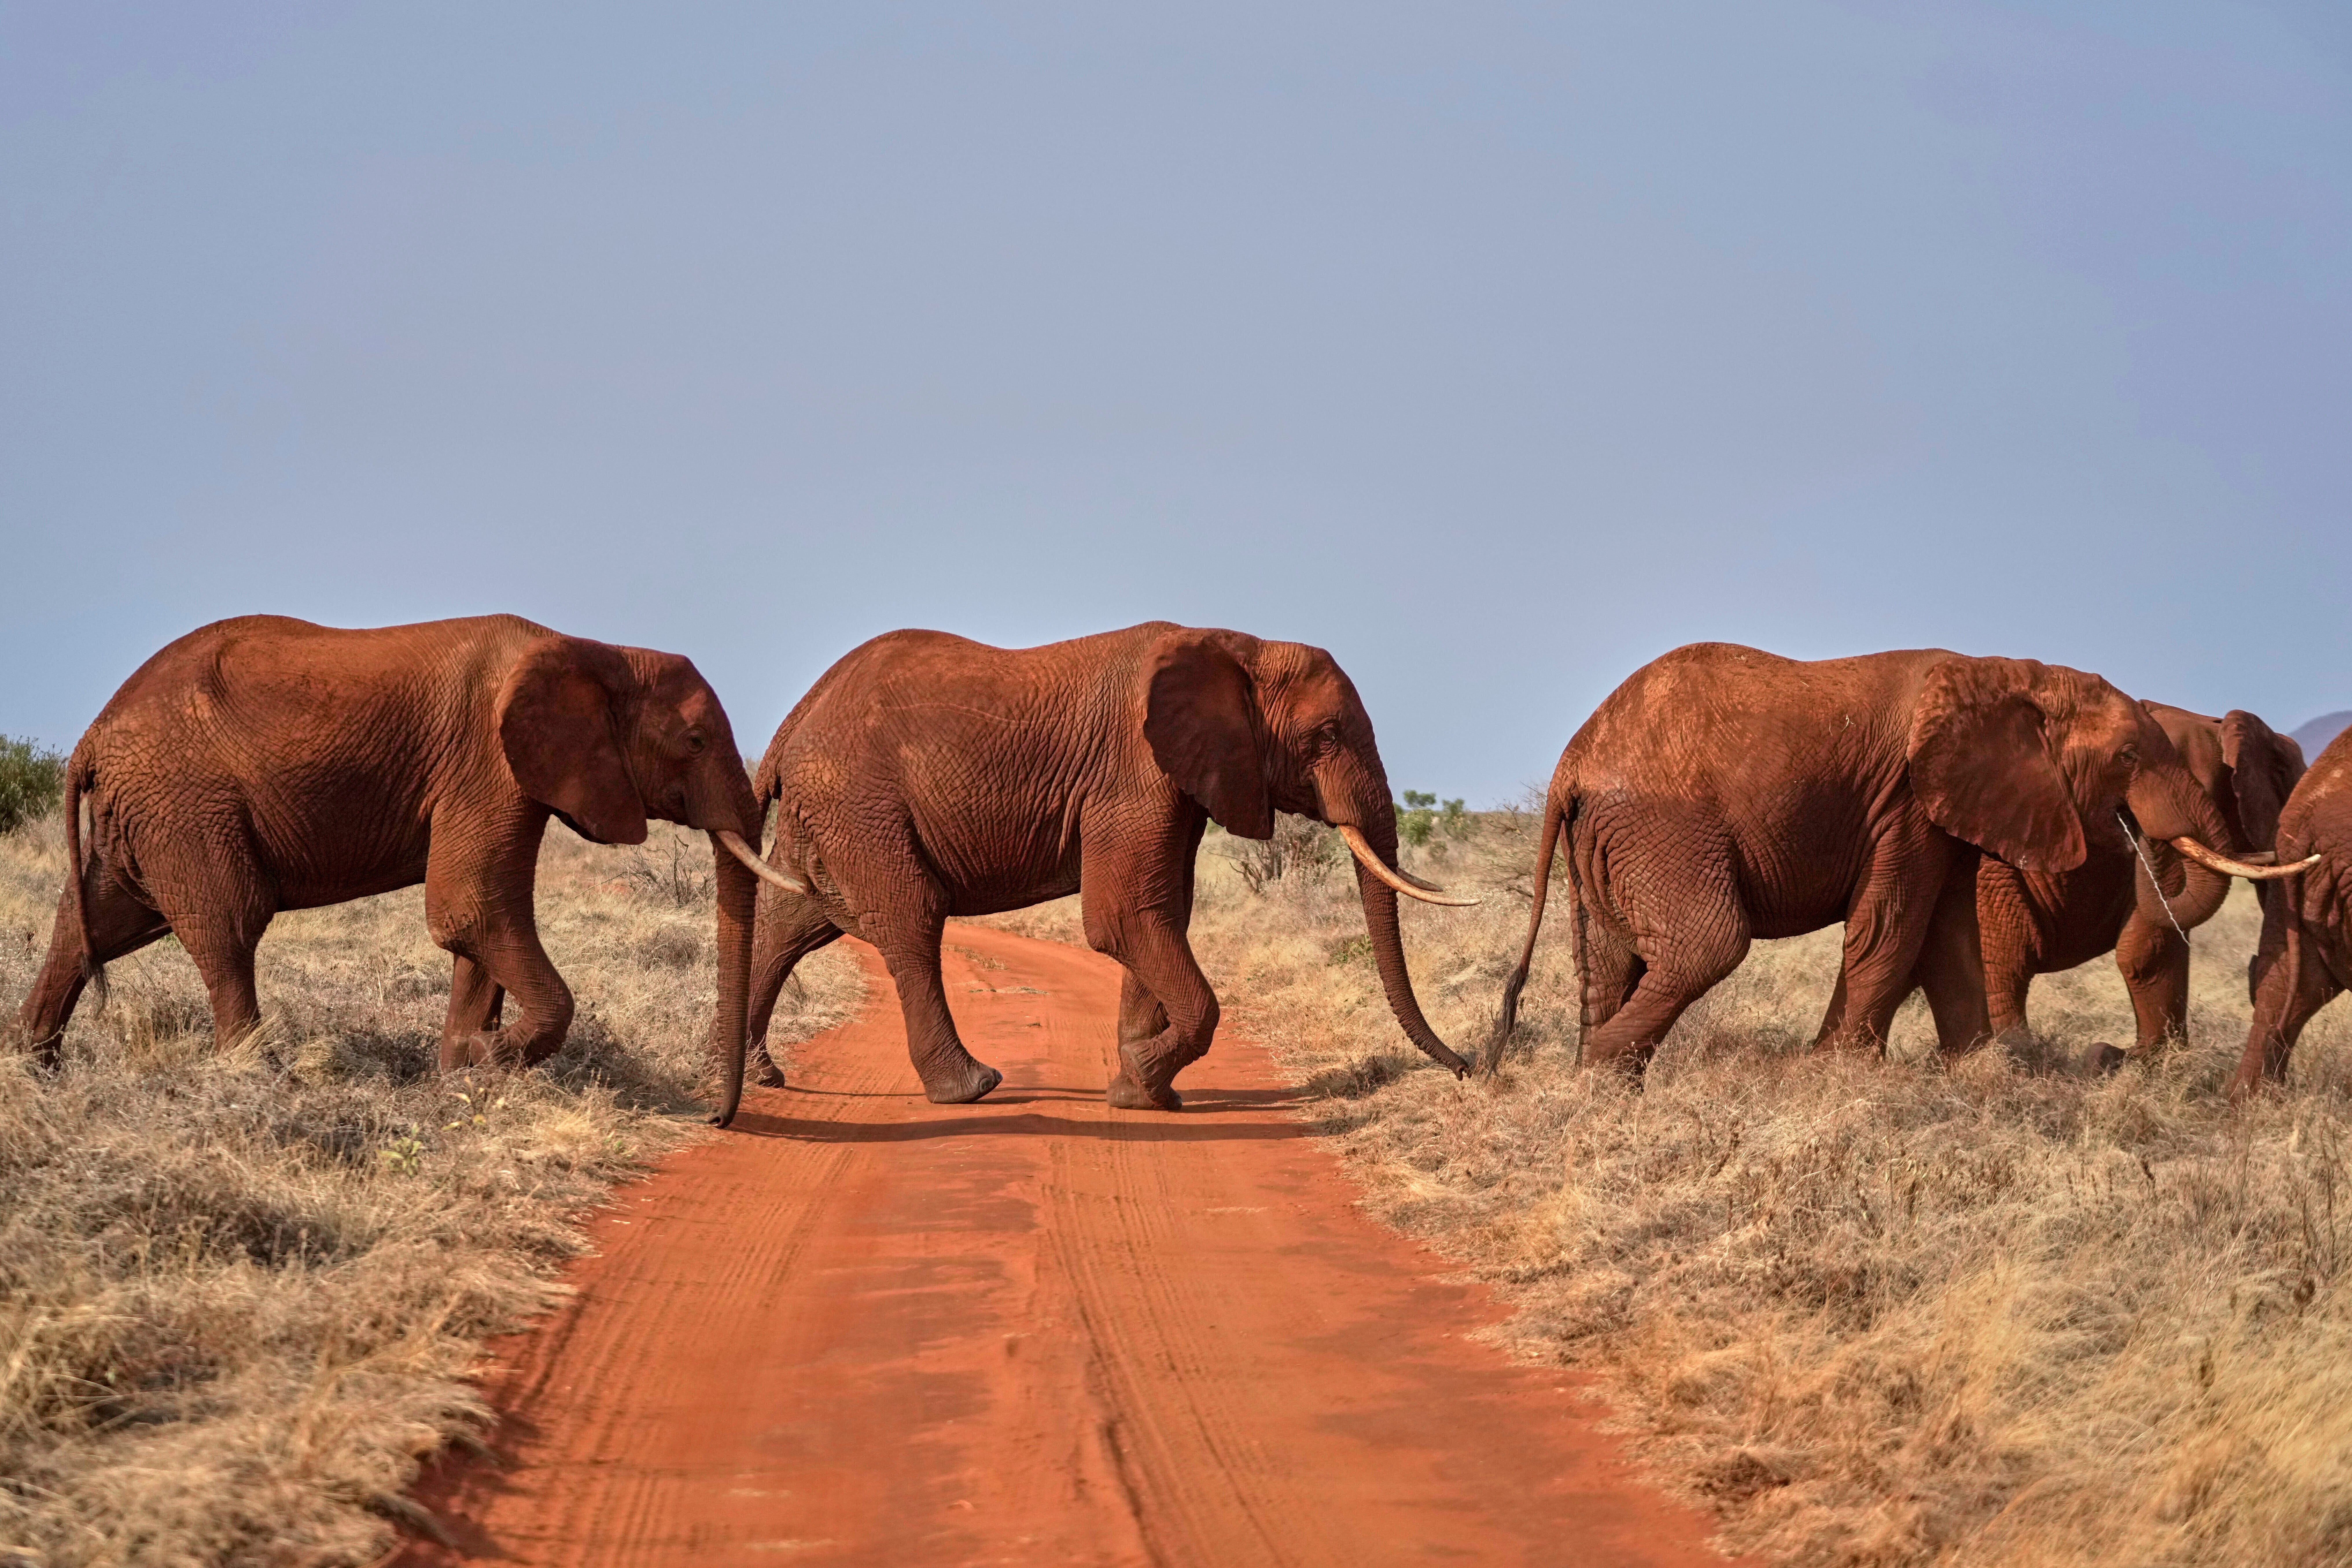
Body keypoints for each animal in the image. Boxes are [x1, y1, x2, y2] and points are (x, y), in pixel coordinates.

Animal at [9, 614, 777, 1083]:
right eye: (696, 741)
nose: (721, 1115)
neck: (595, 649)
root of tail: (94, 733)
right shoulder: (485, 762)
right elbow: (471, 910)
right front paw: (492, 1059)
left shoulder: (505, 776)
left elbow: (480, 920)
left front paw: (462, 1069)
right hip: (187, 803)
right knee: (229, 924)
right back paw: (260, 1078)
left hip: (149, 813)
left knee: (93, 925)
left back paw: (31, 1069)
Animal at [719, 621, 1477, 1126]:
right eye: (1325, 736)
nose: (1468, 1066)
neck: (1237, 644)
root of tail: (796, 717)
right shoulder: (1133, 771)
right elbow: (1122, 917)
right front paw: (1142, 1079)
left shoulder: (1176, 779)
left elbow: (1162, 912)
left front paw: (1142, 1093)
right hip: (860, 800)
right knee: (910, 920)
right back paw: (972, 1086)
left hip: (831, 808)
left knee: (794, 919)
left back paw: (759, 1073)